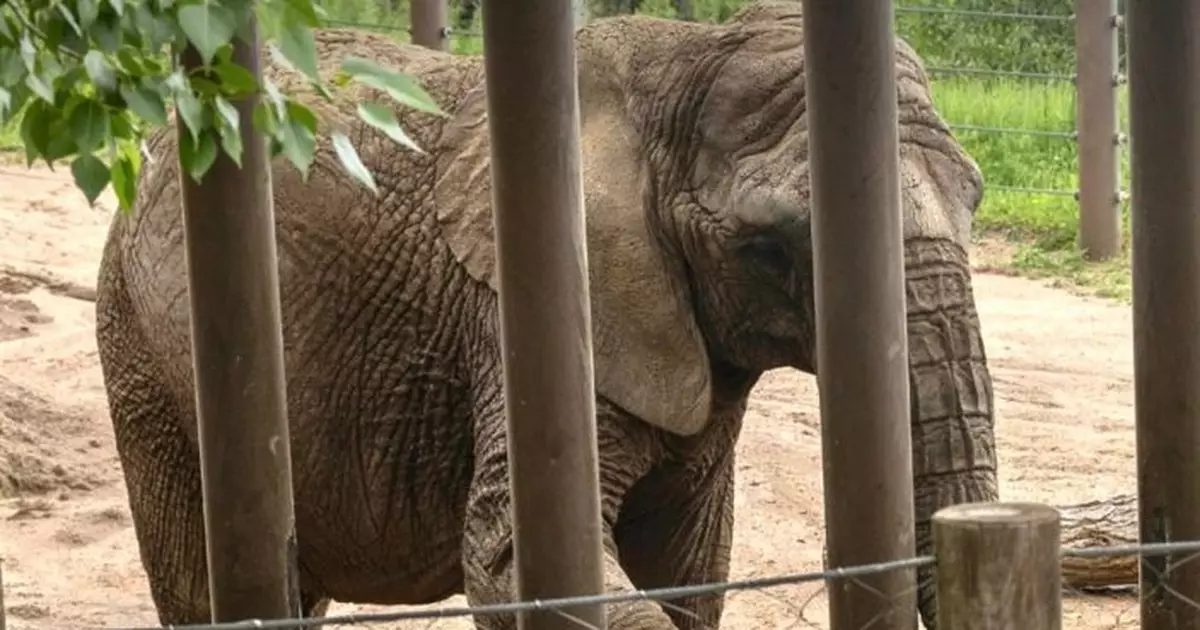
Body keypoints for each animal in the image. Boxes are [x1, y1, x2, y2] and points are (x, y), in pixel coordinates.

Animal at [93, 2, 998, 628]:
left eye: (978, 198)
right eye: (770, 247)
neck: (681, 61)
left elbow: (689, 563)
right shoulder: (516, 313)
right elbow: (511, 559)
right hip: (140, 343)